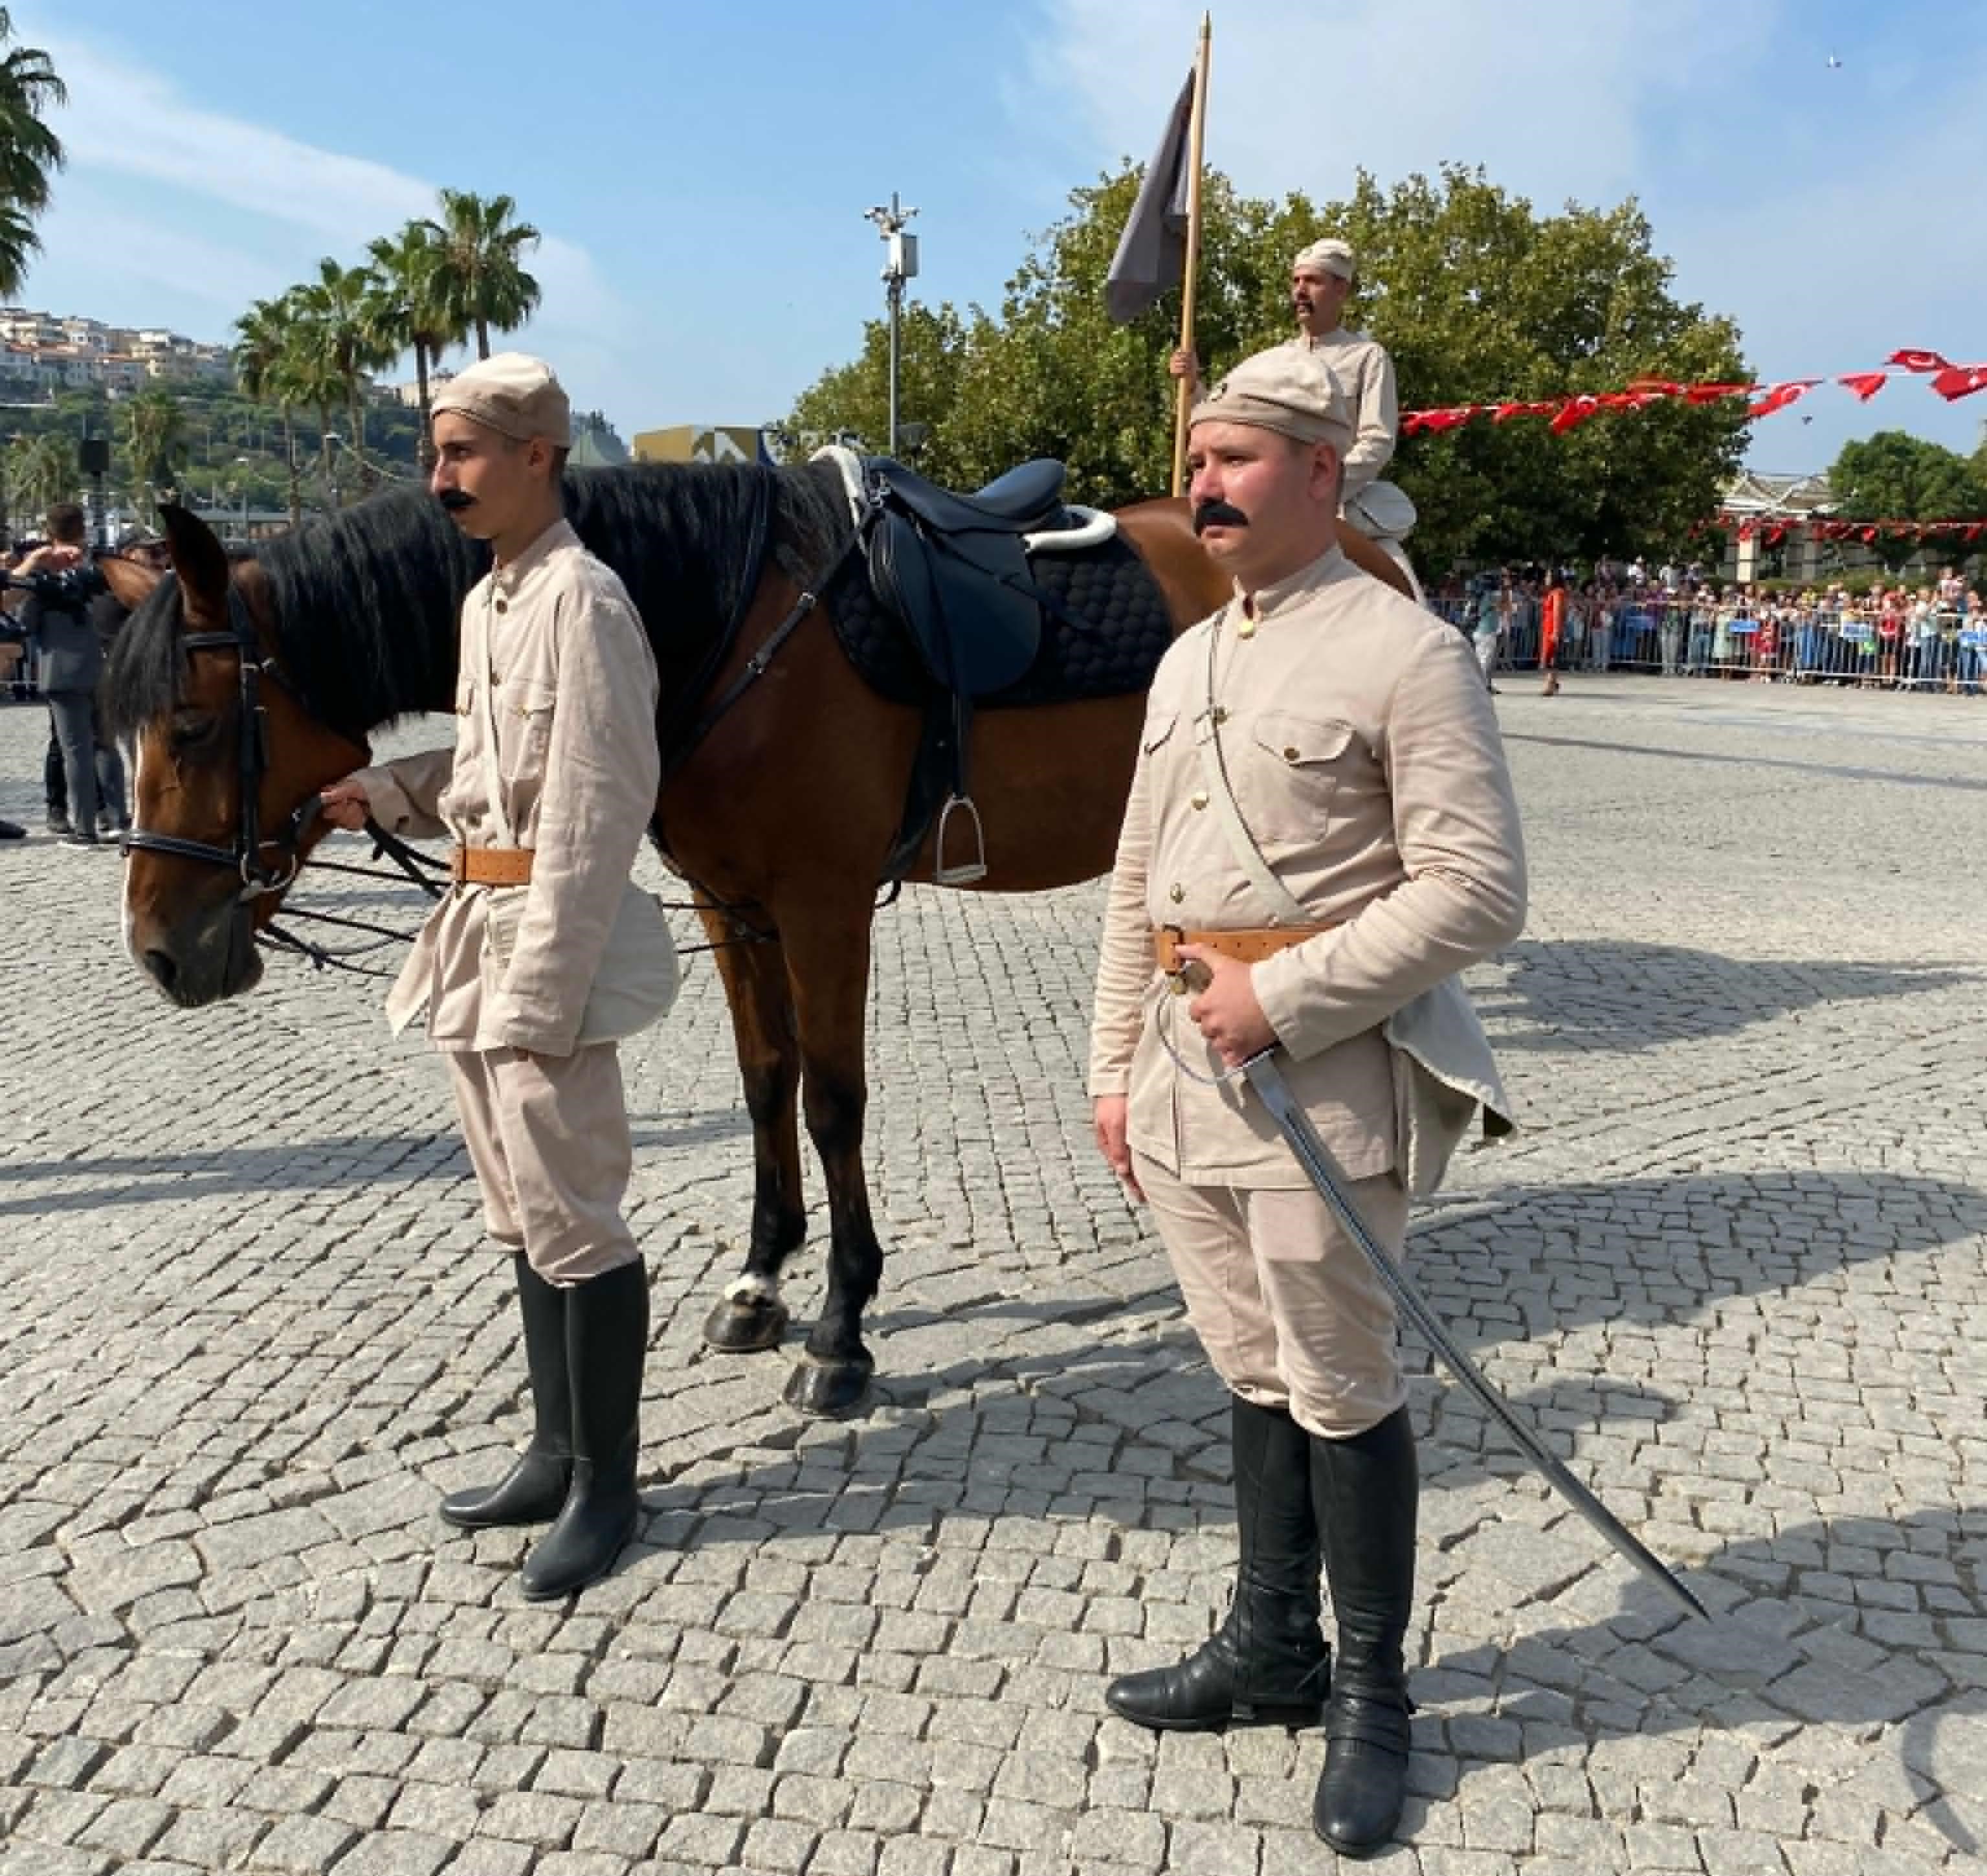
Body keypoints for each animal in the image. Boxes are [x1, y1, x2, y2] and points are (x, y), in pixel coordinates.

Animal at [109, 461, 1414, 1414]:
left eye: (193, 724)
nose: (162, 952)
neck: (728, 625)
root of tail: (1371, 544)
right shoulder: (733, 905)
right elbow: (763, 1081)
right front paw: (758, 1278)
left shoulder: (823, 903)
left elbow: (833, 1099)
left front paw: (842, 1327)